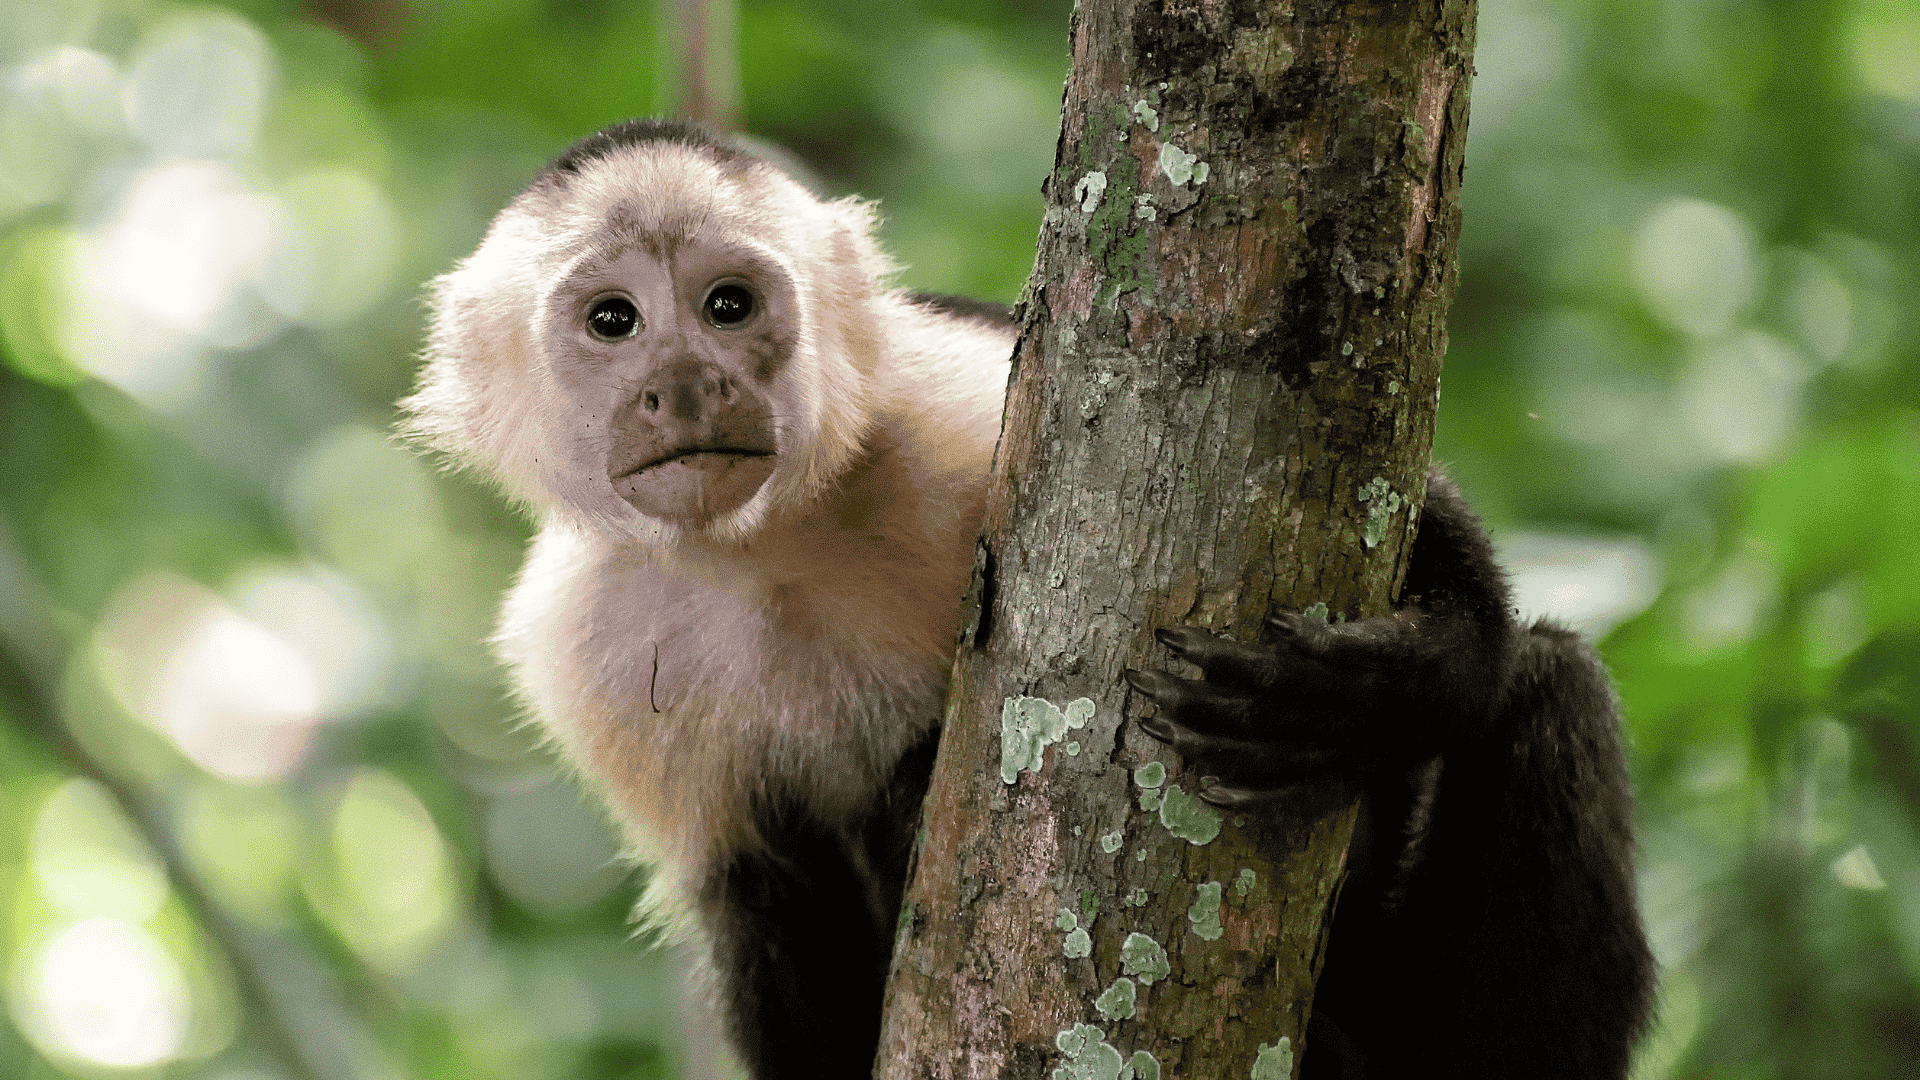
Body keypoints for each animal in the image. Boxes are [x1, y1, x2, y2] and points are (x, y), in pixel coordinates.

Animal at [401, 119, 1651, 1076]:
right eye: (613, 320)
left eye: (726, 306)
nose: (687, 384)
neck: (764, 551)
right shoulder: (581, 653)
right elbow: (763, 907)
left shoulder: (938, 401)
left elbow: (1402, 496)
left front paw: (1386, 687)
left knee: (1551, 684)